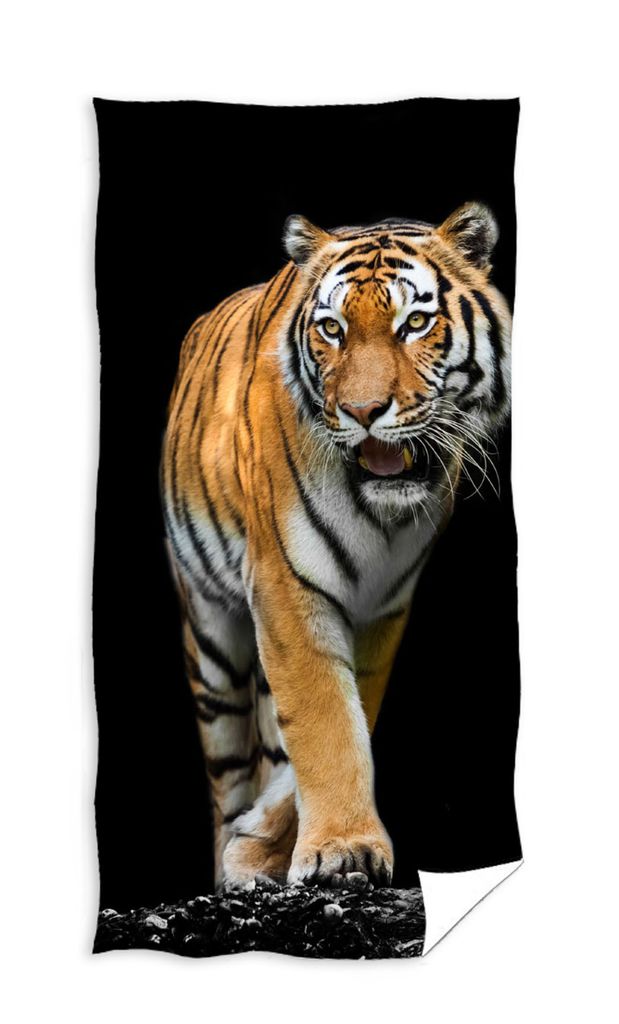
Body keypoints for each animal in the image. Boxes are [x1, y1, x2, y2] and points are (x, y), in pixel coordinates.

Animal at [161, 202, 512, 890]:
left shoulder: (383, 606)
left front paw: (276, 845)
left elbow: (348, 718)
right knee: (228, 771)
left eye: (415, 322)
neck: (382, 515)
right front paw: (339, 850)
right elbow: (326, 718)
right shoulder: (284, 585)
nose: (363, 410)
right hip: (211, 640)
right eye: (332, 329)